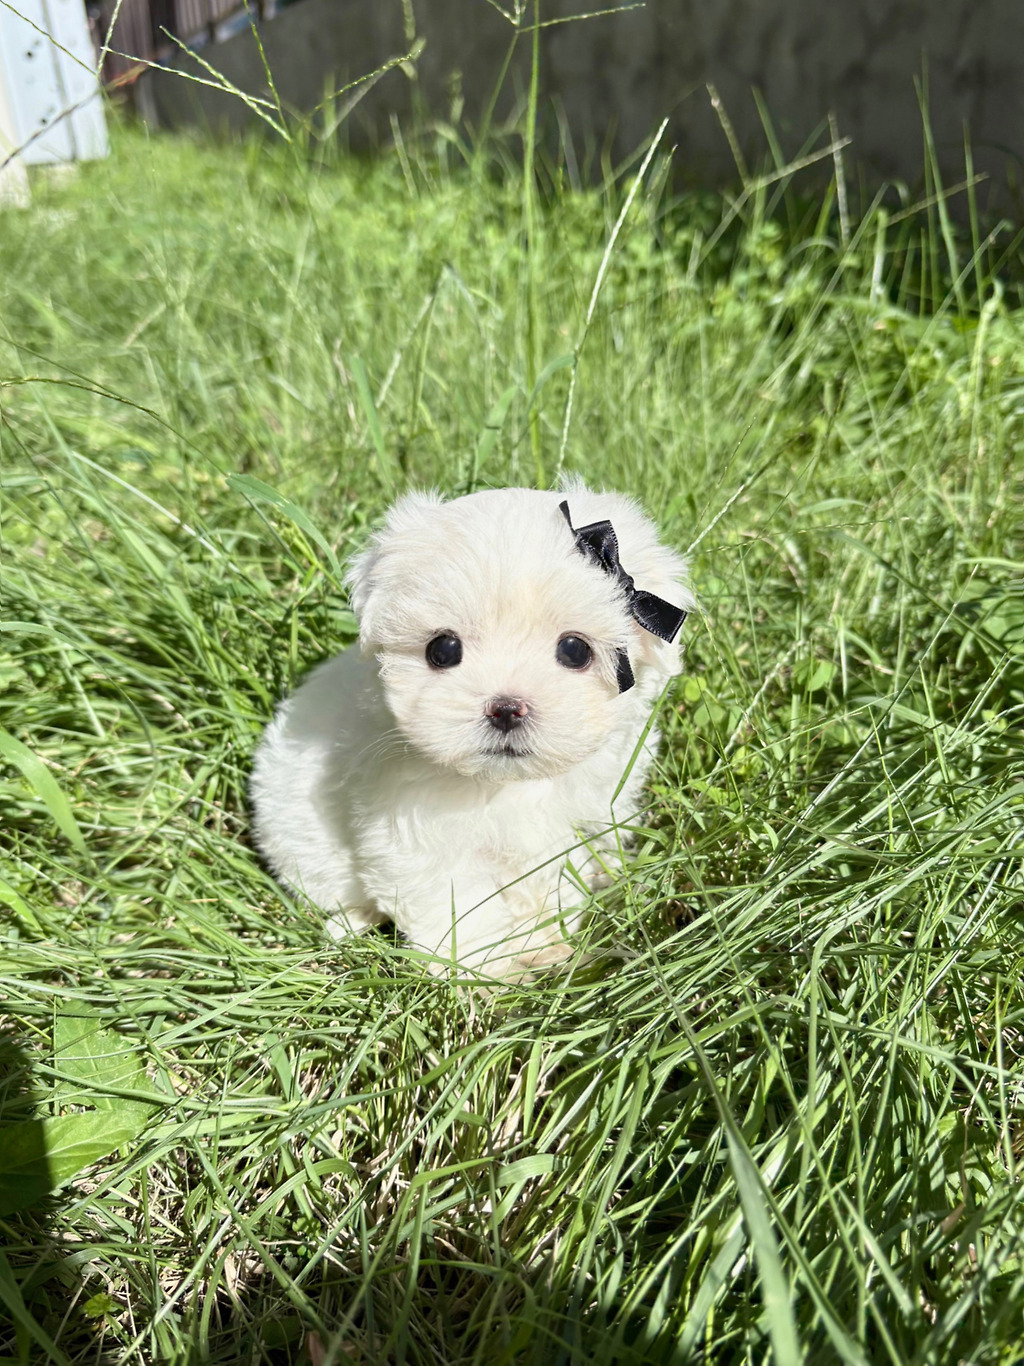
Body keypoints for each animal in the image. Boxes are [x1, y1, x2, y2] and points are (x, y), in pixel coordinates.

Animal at [250, 483, 694, 978]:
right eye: (443, 649)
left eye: (575, 649)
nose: (506, 708)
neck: (508, 786)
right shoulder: (415, 837)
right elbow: (461, 910)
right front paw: (486, 977)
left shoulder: (581, 824)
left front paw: (546, 949)